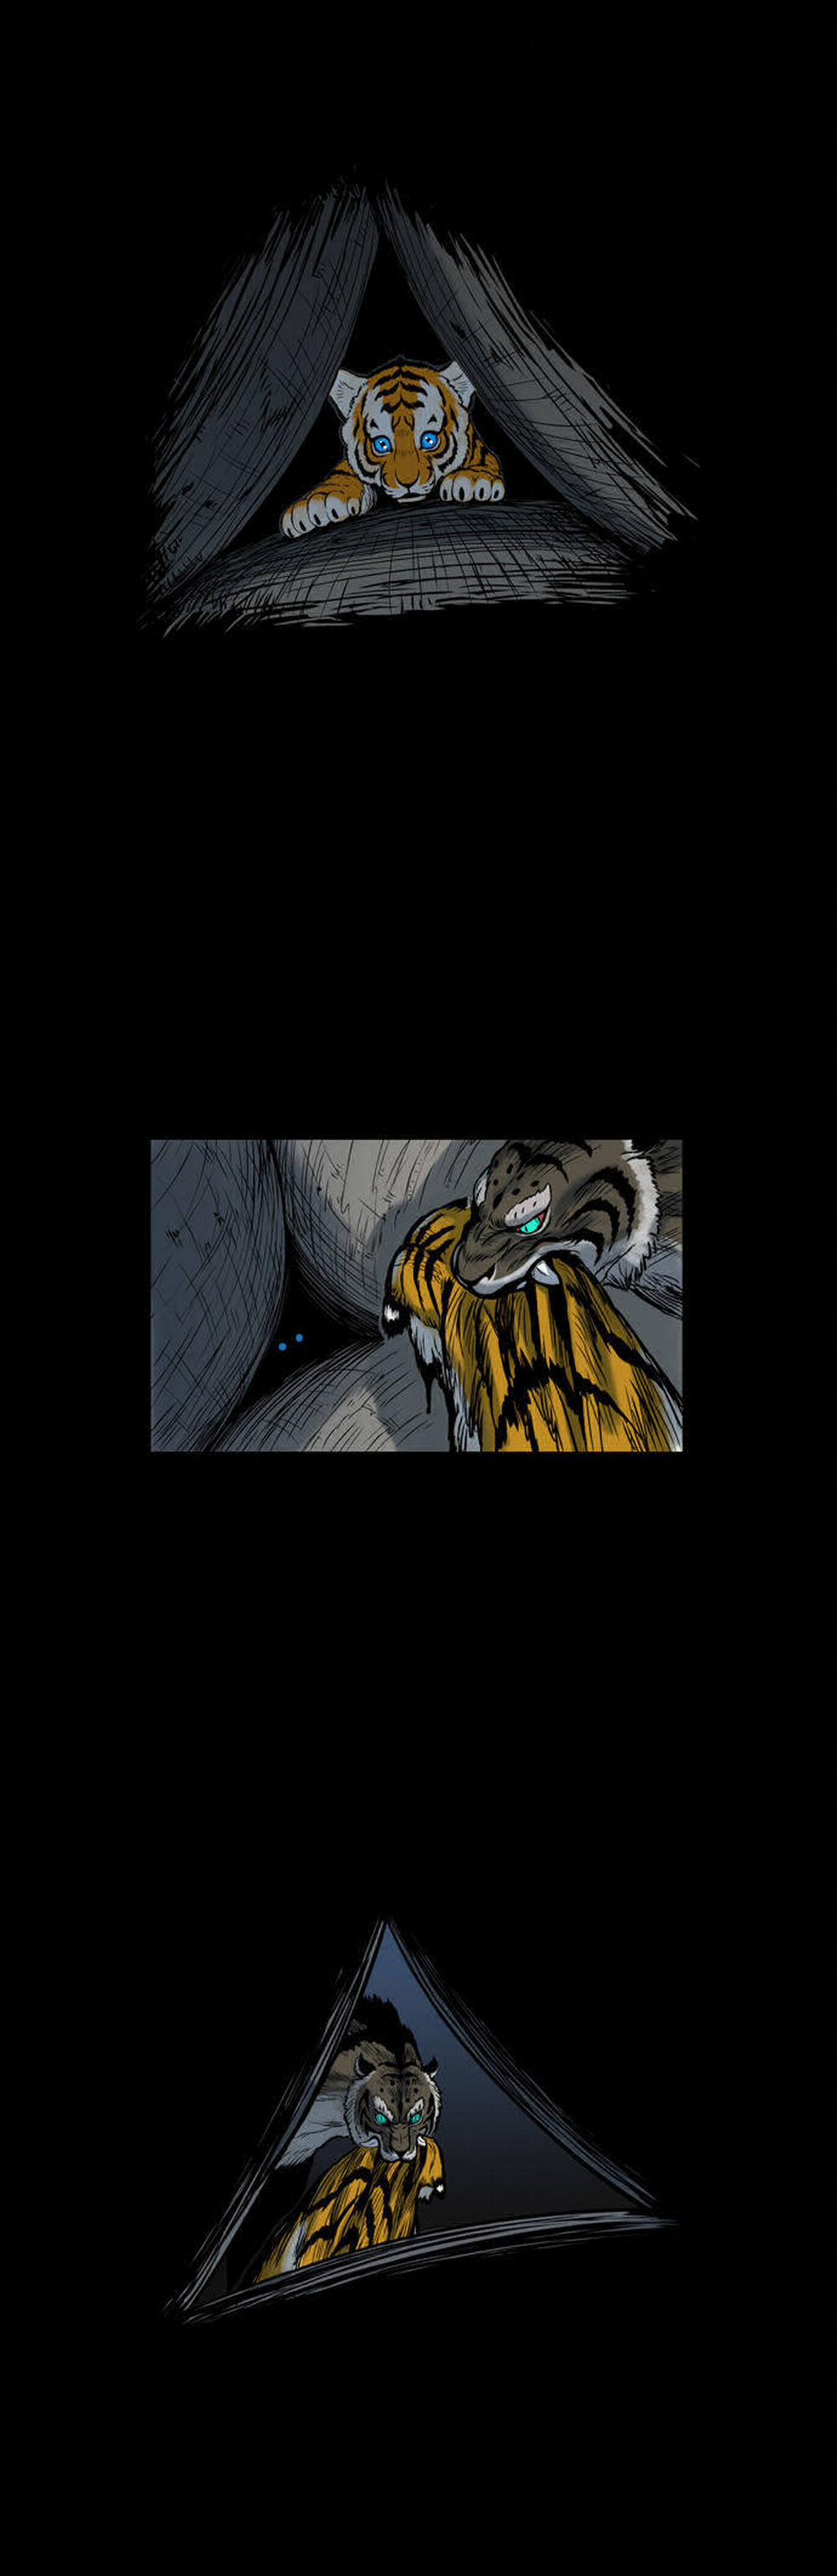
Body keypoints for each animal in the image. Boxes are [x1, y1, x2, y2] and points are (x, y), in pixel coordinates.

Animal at [281, 357, 505, 538]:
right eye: (382, 444)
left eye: (429, 440)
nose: (407, 484)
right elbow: (341, 476)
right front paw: (316, 504)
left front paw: (472, 481)